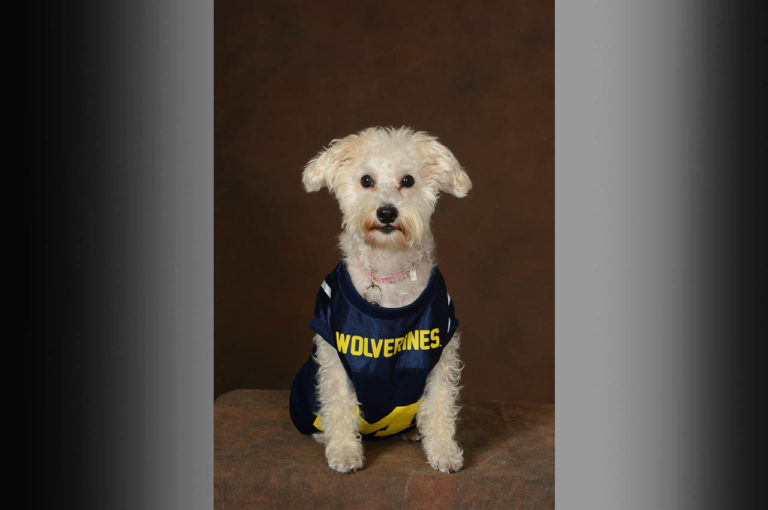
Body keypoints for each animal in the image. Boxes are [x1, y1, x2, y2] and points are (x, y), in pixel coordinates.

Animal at [288, 126, 468, 474]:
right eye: (366, 180)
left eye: (408, 180)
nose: (386, 212)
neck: (388, 271)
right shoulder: (333, 353)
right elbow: (339, 403)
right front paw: (344, 451)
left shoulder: (442, 351)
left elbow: (440, 403)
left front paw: (443, 451)